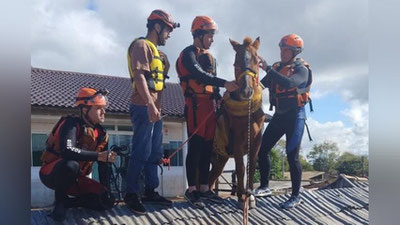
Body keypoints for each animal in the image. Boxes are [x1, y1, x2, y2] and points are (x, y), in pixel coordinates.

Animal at [209, 36, 266, 209]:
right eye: (236, 62)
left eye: (256, 59)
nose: (246, 91)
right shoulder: (238, 142)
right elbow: (240, 168)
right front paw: (242, 197)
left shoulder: (256, 140)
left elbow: (251, 166)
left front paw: (250, 195)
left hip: (221, 158)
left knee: (212, 177)